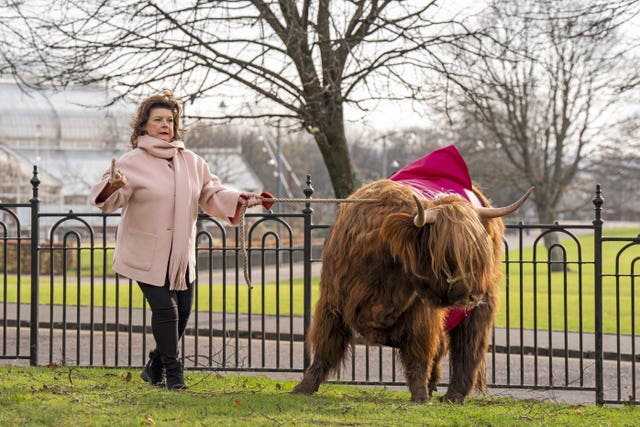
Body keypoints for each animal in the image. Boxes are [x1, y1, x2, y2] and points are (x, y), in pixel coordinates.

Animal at [292, 145, 532, 402]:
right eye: (447, 254)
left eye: (478, 256)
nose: (474, 296)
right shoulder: (332, 303)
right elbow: (325, 349)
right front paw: (303, 387)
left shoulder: (421, 315)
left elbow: (419, 355)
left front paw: (419, 398)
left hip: (478, 312)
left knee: (468, 347)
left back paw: (453, 396)